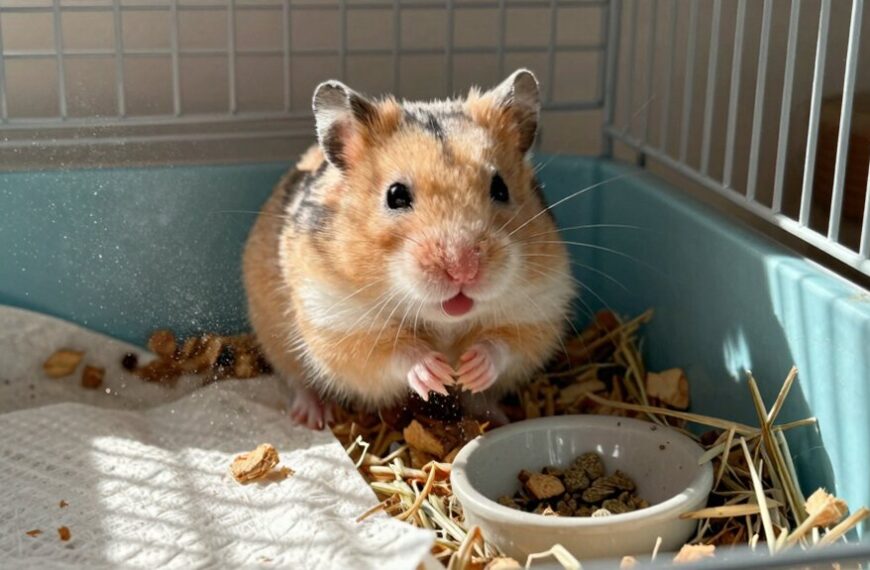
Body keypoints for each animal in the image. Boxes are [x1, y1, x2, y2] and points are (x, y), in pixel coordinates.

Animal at [242, 69, 575, 429]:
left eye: (500, 188)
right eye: (395, 195)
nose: (463, 269)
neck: (444, 322)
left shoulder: (536, 310)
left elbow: (502, 344)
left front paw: (470, 369)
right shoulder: (340, 321)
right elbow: (397, 353)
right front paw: (437, 373)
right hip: (277, 340)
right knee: (299, 381)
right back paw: (313, 417)